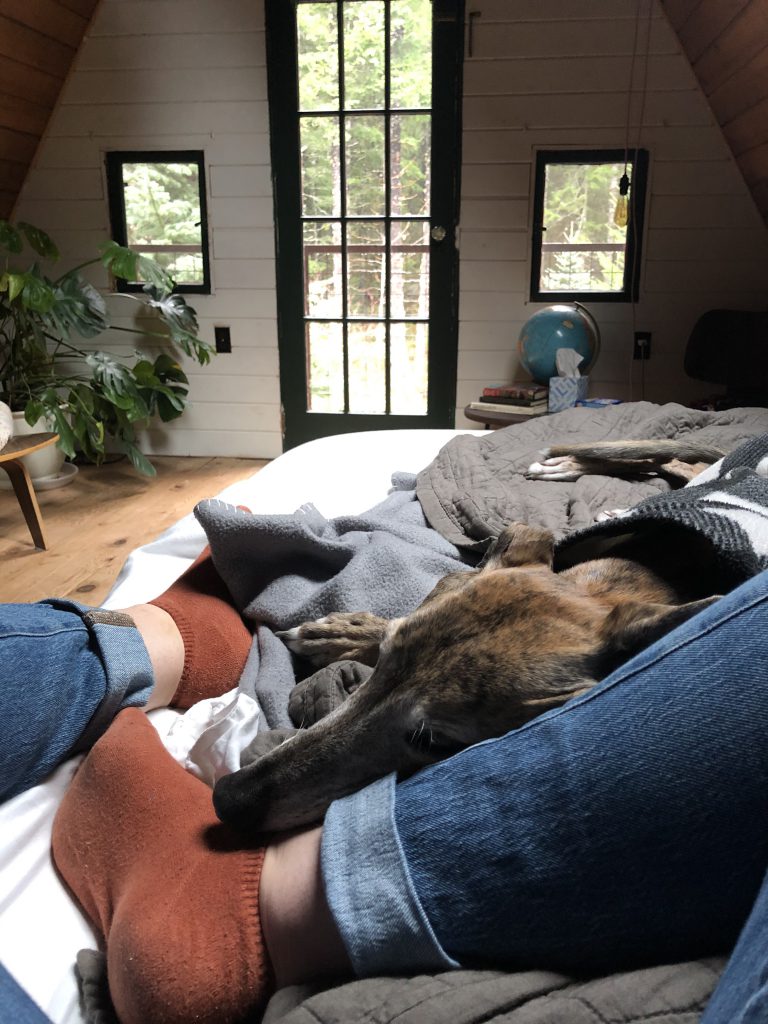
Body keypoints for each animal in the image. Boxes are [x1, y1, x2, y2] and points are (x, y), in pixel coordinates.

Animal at [214, 432, 729, 831]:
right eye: (384, 660)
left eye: (434, 743)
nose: (227, 797)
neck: (632, 575)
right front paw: (339, 632)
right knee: (668, 462)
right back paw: (571, 471)